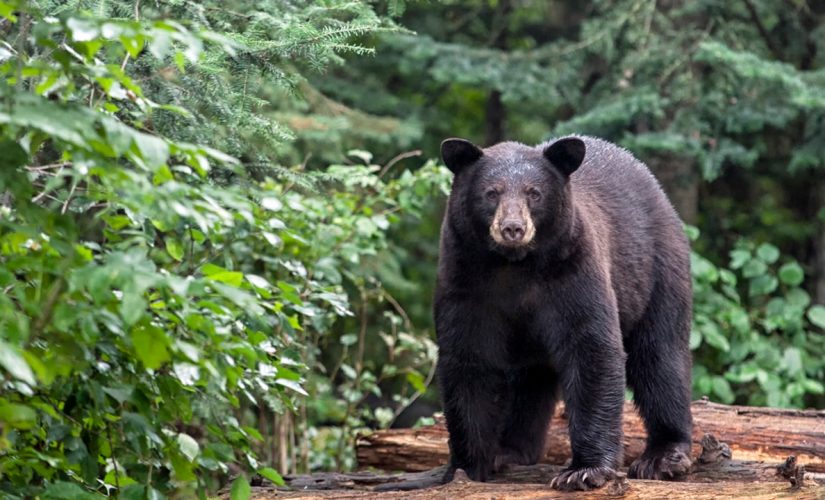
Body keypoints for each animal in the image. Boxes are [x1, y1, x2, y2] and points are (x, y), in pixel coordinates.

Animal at [434, 135, 692, 490]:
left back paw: (664, 455)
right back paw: (510, 450)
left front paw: (584, 470)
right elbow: (468, 360)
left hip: (657, 271)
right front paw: (466, 468)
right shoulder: (465, 279)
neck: (513, 266)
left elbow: (591, 347)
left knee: (660, 357)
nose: (513, 228)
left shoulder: (572, 269)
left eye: (534, 193)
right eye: (491, 192)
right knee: (528, 380)